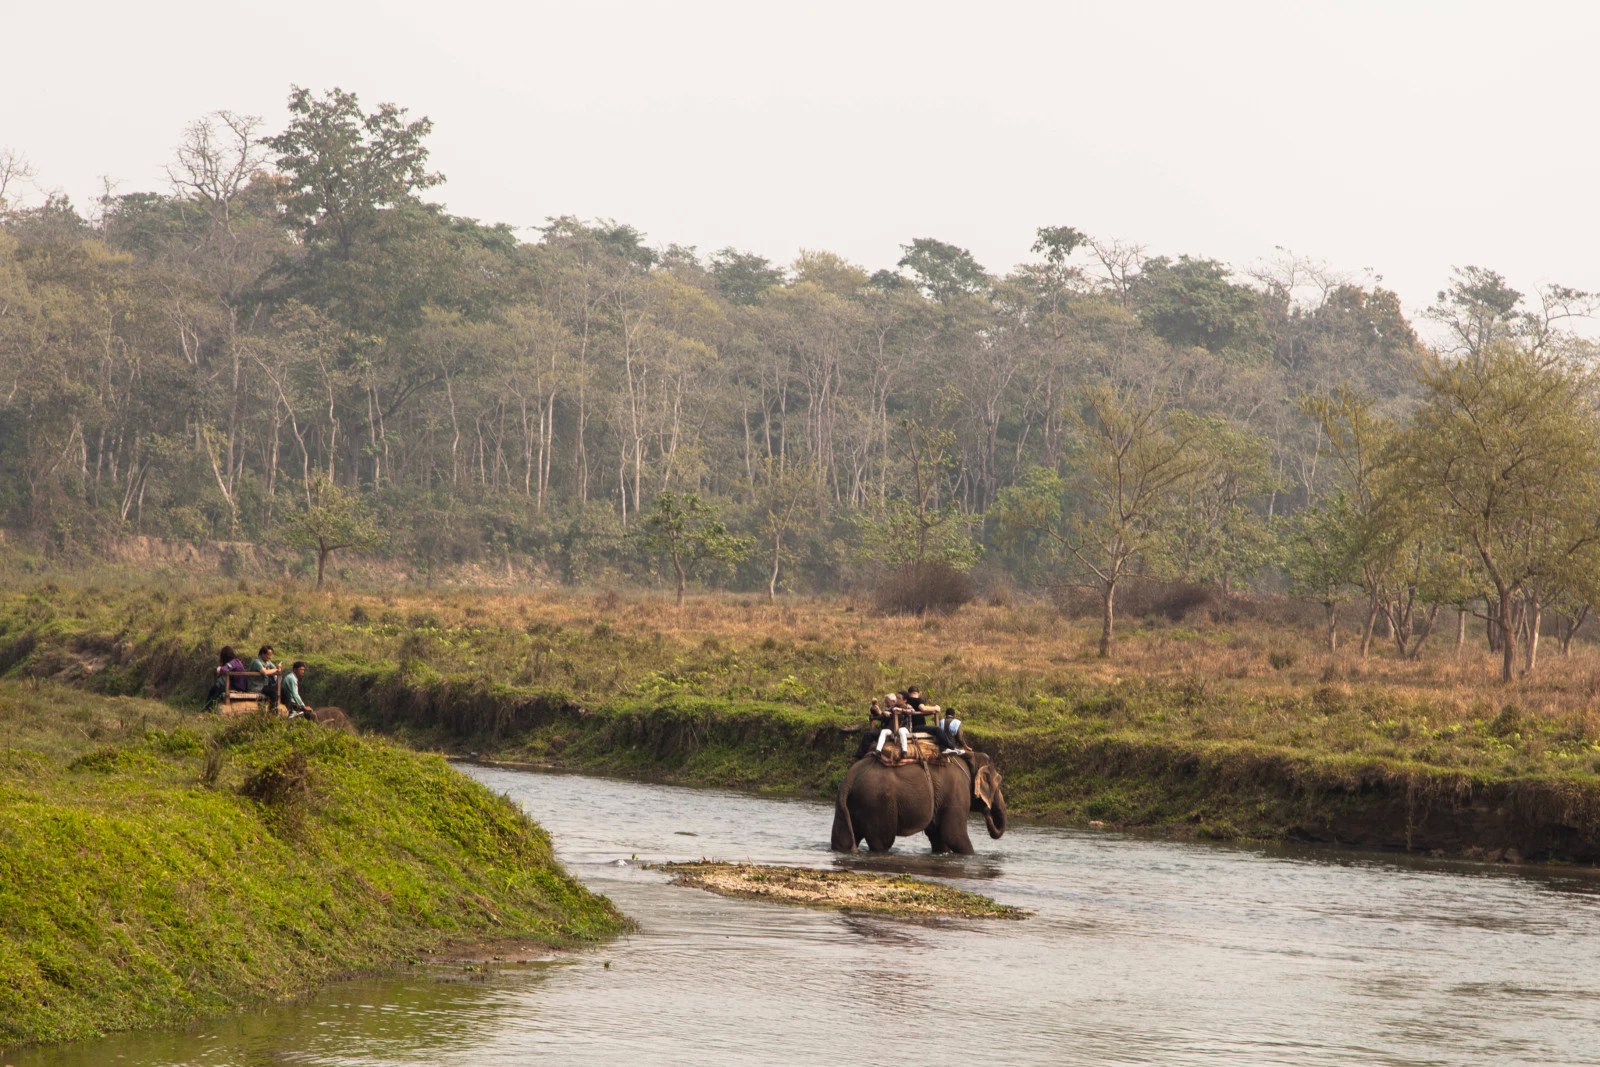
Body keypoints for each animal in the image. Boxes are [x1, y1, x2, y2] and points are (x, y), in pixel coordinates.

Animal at [832, 755, 1004, 857]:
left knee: (843, 839)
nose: (987, 811)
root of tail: (850, 776)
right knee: (881, 842)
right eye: (998, 782)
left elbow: (938, 836)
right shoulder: (957, 792)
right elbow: (954, 835)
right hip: (877, 804)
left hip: (850, 802)